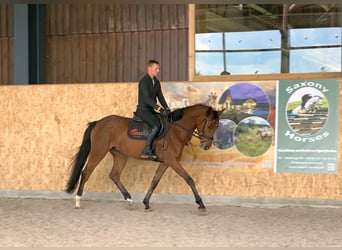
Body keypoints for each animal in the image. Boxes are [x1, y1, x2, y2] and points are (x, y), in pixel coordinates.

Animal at [65, 104, 223, 211]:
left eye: (217, 126)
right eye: (210, 125)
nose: (206, 146)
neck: (176, 130)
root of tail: (98, 122)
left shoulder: (166, 162)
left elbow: (154, 181)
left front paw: (146, 203)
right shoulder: (172, 161)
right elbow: (189, 179)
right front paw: (200, 203)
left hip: (121, 155)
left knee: (114, 175)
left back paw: (129, 199)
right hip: (98, 151)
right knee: (86, 172)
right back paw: (78, 201)